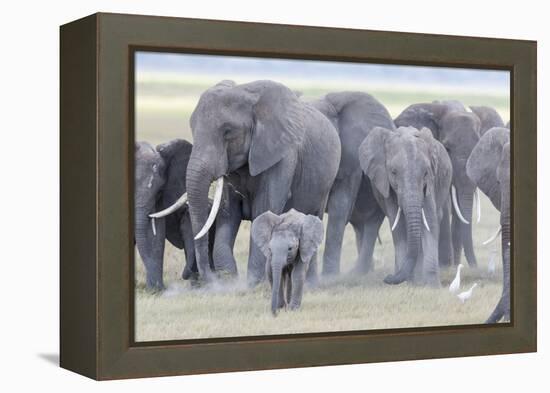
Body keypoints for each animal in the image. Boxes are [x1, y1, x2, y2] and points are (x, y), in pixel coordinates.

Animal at [164, 79, 342, 284]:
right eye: (192, 129)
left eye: (227, 132)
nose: (206, 277)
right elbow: (228, 213)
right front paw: (229, 280)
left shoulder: (282, 155)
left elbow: (263, 209)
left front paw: (254, 283)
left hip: (325, 185)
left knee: (313, 221)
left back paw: (309, 283)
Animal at [310, 92, 396, 276]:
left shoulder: (351, 156)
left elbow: (340, 206)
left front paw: (329, 277)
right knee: (359, 225)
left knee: (371, 224)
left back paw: (358, 273)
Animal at [360, 127, 454, 286]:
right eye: (393, 172)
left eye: (426, 173)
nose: (387, 278)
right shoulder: (386, 185)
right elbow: (397, 225)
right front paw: (408, 281)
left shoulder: (430, 183)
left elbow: (430, 221)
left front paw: (433, 286)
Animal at [396, 101, 484, 268]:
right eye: (447, 148)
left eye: (478, 149)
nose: (475, 268)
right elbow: (445, 205)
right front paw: (445, 265)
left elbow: (459, 211)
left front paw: (453, 265)